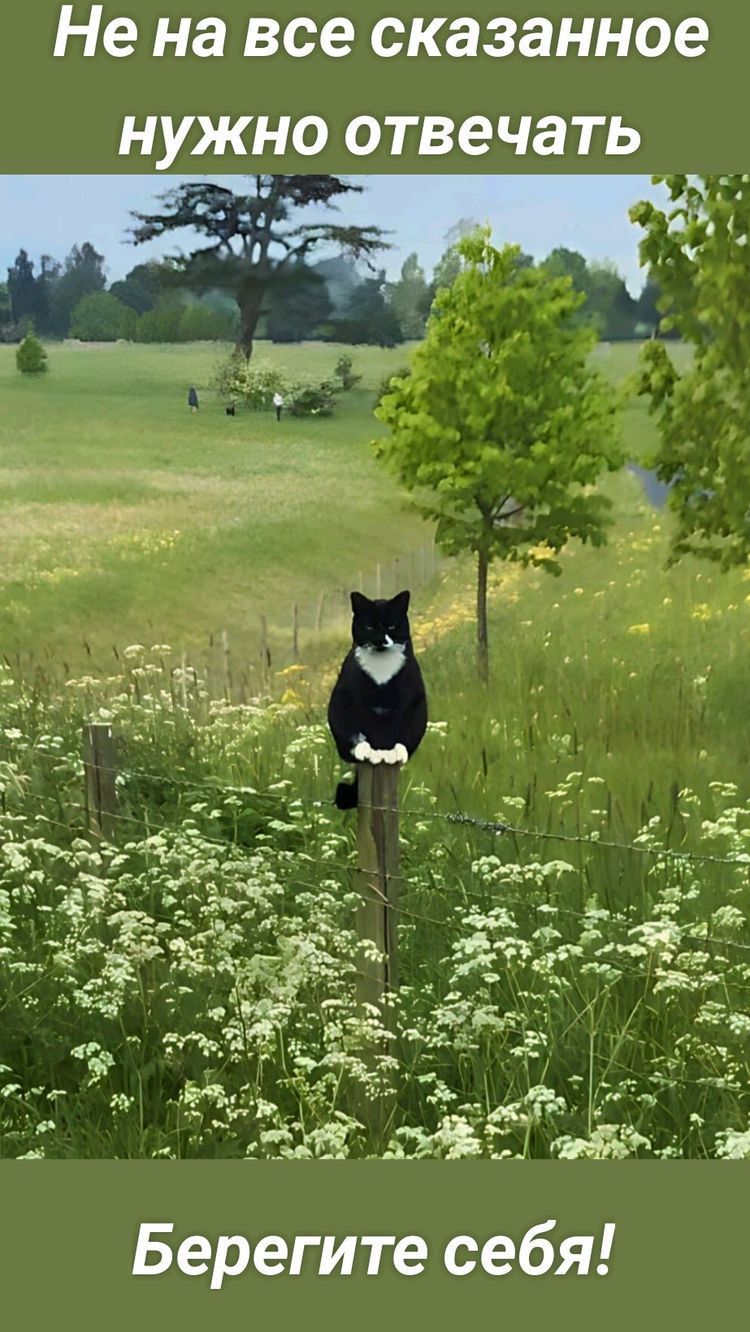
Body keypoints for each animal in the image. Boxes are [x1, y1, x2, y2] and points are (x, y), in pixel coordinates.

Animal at [329, 594, 428, 809]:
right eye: (369, 626)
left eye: (391, 625)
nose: (380, 639)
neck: (381, 668)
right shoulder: (343, 695)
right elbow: (348, 727)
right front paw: (364, 749)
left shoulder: (414, 697)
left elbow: (407, 729)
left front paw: (396, 752)